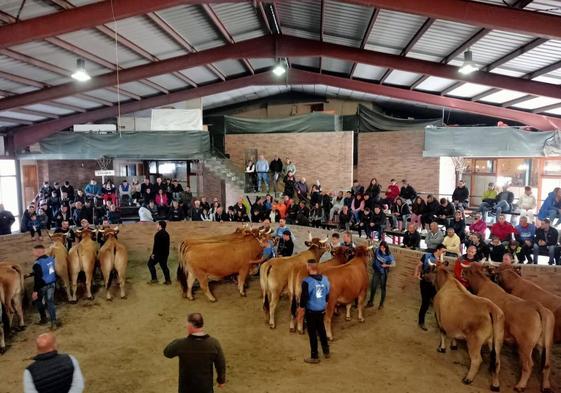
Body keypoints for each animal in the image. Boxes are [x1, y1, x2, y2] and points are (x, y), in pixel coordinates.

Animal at [464, 264, 552, 392]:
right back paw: (545, 386)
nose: (463, 270)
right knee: (547, 364)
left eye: (469, 270)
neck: (483, 284)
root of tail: (536, 305)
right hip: (545, 345)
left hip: (525, 345)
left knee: (528, 365)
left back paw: (520, 385)